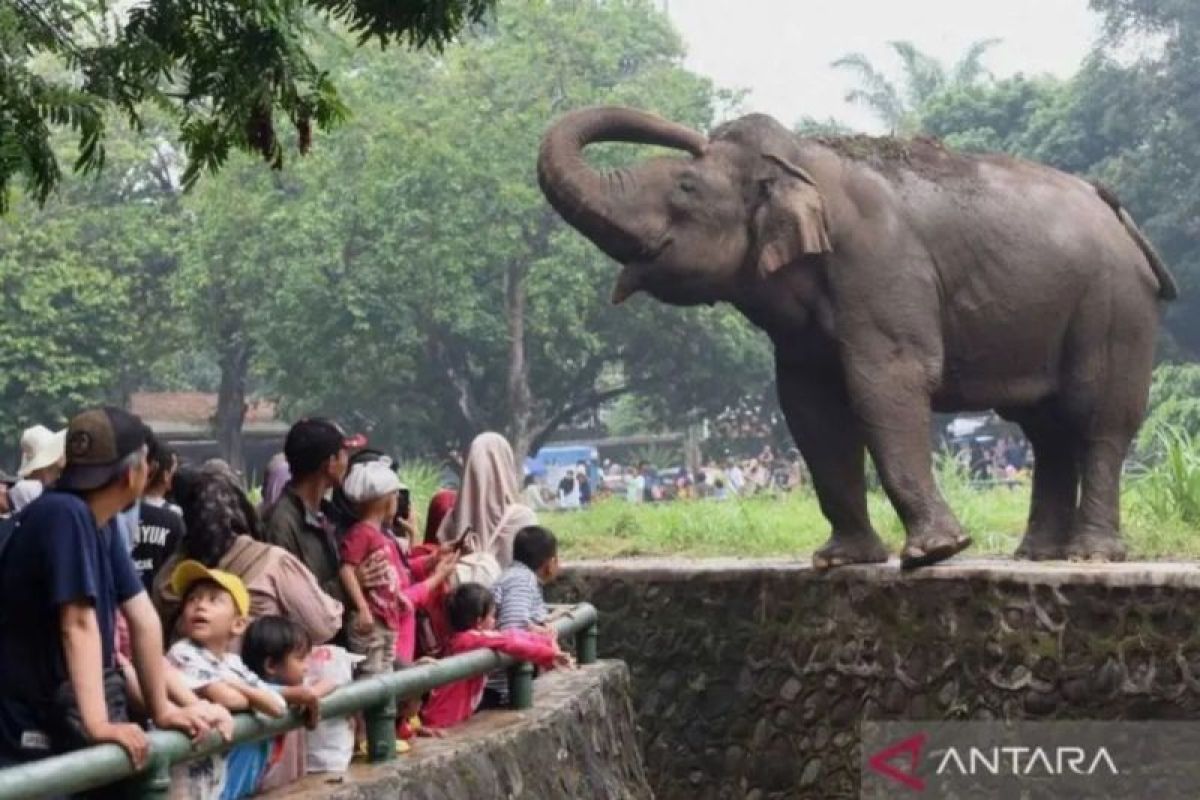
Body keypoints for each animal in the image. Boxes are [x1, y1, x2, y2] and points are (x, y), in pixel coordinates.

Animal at [540, 106, 1176, 568]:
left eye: (686, 187)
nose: (692, 132)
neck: (802, 162)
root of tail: (1116, 209)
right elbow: (808, 405)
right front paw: (839, 561)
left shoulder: (880, 265)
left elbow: (886, 381)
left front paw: (934, 553)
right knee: (1045, 428)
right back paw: (1037, 555)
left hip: (1114, 307)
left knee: (1096, 417)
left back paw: (1091, 555)